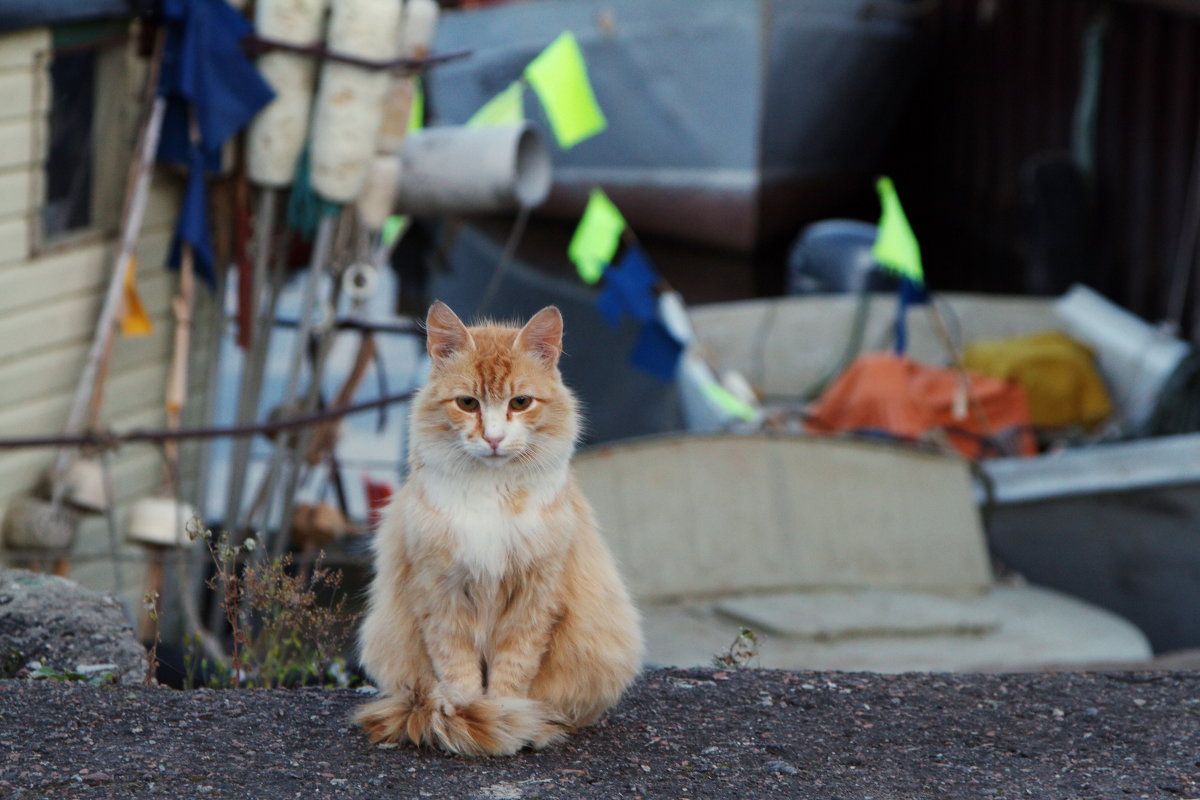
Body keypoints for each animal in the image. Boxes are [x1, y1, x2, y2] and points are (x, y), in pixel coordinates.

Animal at [350, 299, 643, 758]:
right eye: (468, 403)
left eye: (520, 402)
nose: (492, 438)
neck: (490, 492)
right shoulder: (440, 596)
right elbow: (460, 673)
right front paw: (470, 716)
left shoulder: (534, 599)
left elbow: (512, 672)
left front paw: (505, 719)